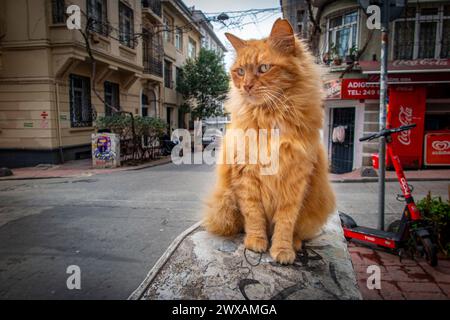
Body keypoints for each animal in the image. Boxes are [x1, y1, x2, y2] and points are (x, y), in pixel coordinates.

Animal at [202, 18, 336, 264]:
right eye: (240, 71)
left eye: (264, 68)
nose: (246, 86)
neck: (271, 116)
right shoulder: (246, 175)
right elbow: (254, 216)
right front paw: (257, 242)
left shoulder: (295, 180)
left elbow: (285, 222)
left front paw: (282, 250)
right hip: (226, 202)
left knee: (298, 232)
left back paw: (295, 243)